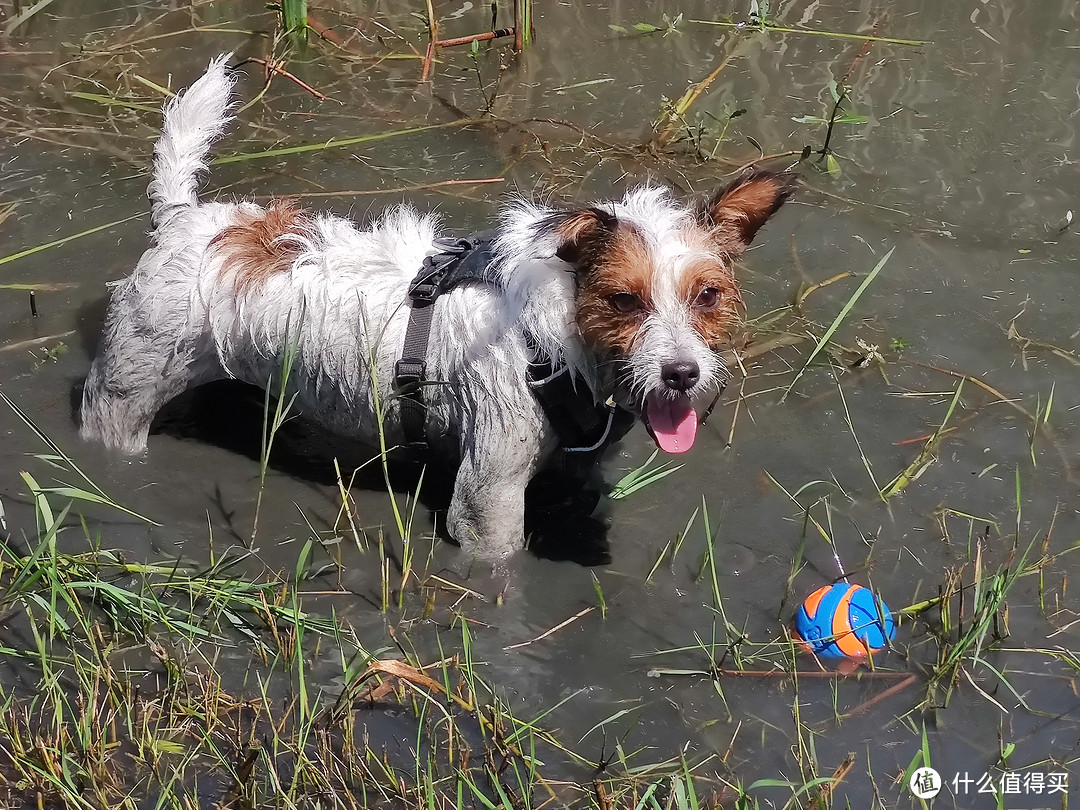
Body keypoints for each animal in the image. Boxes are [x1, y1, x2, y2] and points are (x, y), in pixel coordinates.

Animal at [79, 57, 794, 561]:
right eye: (623, 300)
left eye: (708, 296)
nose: (682, 374)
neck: (553, 342)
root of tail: (185, 219)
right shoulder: (487, 504)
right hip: (123, 399)